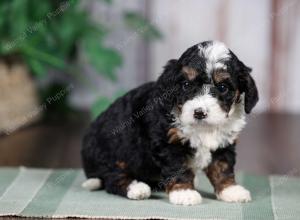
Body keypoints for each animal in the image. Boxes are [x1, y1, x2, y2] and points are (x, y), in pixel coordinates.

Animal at [81, 40, 258, 205]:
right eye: (186, 85)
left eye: (222, 87)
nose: (199, 113)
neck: (202, 128)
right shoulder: (168, 142)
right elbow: (177, 167)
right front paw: (184, 192)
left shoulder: (224, 142)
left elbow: (222, 166)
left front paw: (231, 190)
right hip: (114, 153)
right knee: (113, 178)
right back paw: (137, 188)